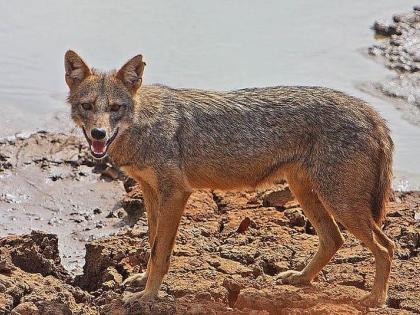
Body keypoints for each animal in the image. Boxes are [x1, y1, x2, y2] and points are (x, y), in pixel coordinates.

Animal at [65, 50, 394, 308]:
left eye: (115, 108)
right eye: (87, 106)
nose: (98, 134)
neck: (145, 124)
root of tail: (371, 112)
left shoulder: (176, 193)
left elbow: (159, 252)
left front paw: (147, 297)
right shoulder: (150, 192)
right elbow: (152, 242)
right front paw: (142, 283)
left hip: (340, 203)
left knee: (386, 247)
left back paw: (375, 299)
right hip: (308, 193)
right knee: (334, 239)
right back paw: (300, 278)